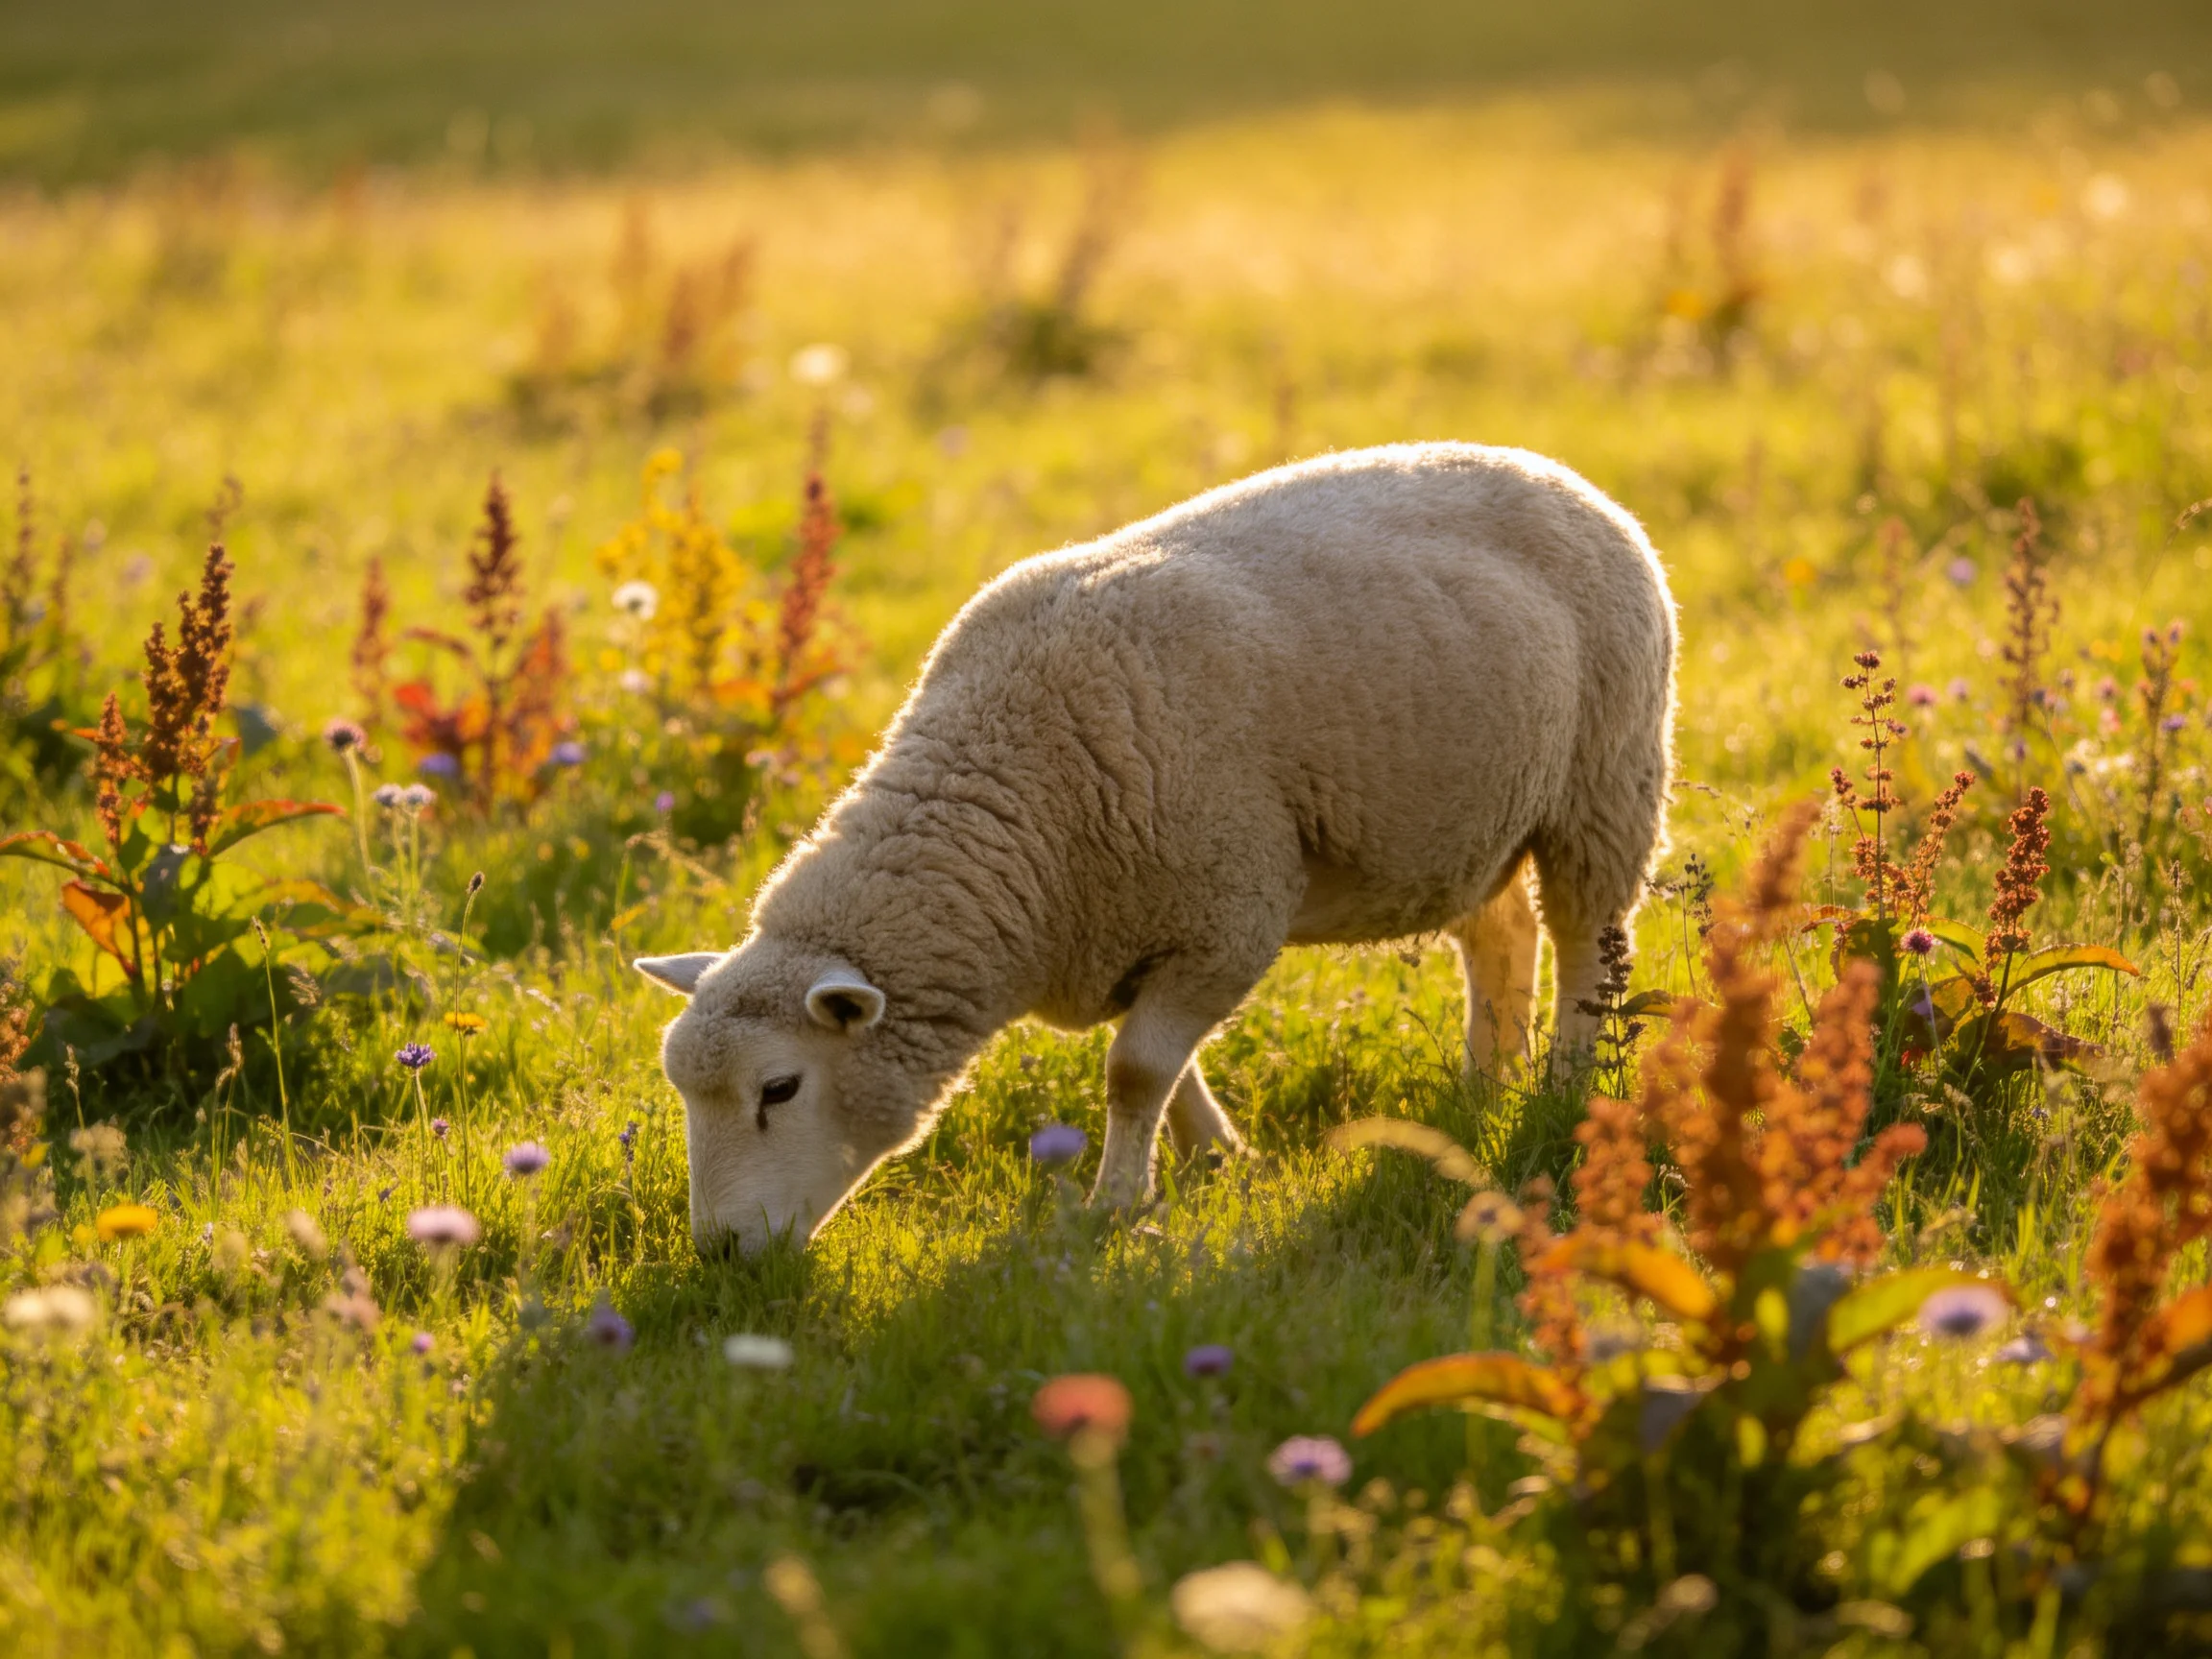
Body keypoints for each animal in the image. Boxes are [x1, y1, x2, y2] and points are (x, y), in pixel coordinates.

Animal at [637, 441, 1676, 1253]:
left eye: (779, 1088)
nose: (720, 1254)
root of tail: (1555, 471)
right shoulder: (1131, 930)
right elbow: (1163, 1070)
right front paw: (1217, 1157)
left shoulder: (1228, 916)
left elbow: (1134, 1071)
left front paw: (1115, 1206)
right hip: (1474, 818)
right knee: (1501, 936)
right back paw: (1485, 1082)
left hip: (1606, 781)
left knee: (1587, 944)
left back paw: (1560, 1087)